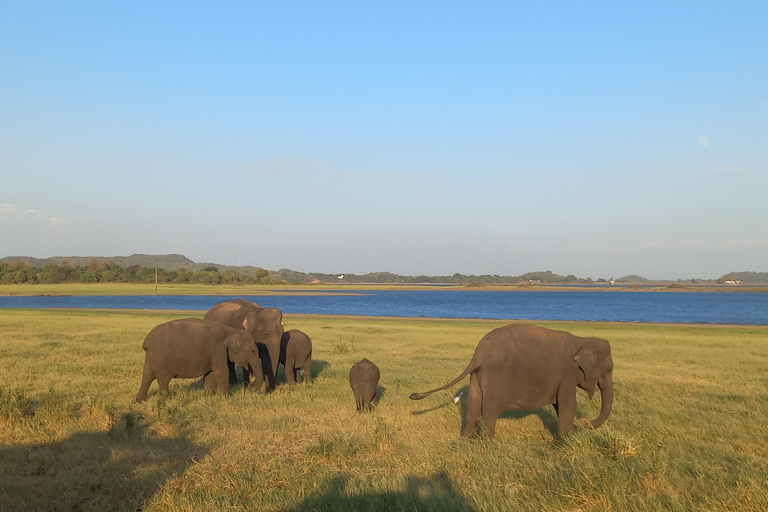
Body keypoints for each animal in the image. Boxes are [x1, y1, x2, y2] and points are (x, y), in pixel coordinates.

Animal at [412, 324, 616, 440]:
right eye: (609, 369)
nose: (585, 422)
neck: (583, 340)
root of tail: (477, 355)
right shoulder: (567, 373)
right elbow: (567, 403)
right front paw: (568, 440)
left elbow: (560, 405)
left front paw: (571, 436)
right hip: (496, 377)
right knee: (490, 411)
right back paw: (490, 443)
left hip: (477, 378)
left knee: (473, 406)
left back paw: (466, 441)